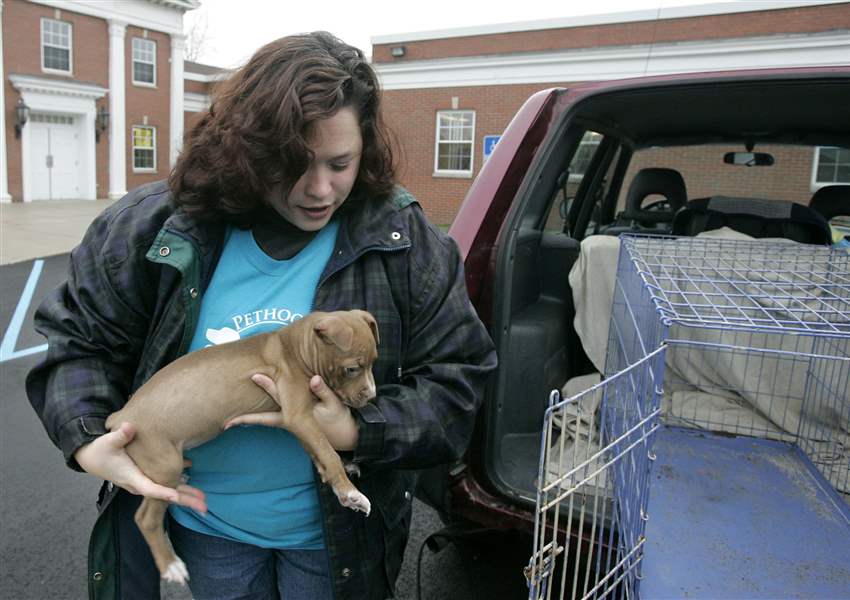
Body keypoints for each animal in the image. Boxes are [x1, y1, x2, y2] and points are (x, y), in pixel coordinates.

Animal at [107, 312, 380, 584]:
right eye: (352, 369)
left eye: (373, 362)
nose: (371, 396)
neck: (297, 347)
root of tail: (121, 416)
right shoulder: (298, 416)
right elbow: (327, 451)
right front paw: (349, 490)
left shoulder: (302, 422)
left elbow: (318, 452)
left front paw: (341, 480)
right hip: (164, 462)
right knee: (146, 519)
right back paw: (171, 565)